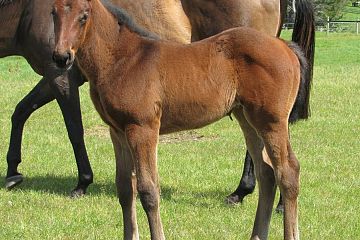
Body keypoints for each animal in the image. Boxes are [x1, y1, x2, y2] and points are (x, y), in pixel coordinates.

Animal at [1, 0, 314, 202]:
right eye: (53, 13)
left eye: (84, 16)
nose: (62, 55)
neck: (125, 56)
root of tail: (286, 47)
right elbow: (21, 111)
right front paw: (13, 172)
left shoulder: (63, 78)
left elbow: (74, 130)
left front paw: (81, 183)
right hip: (247, 114)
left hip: (269, 117)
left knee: (287, 163)